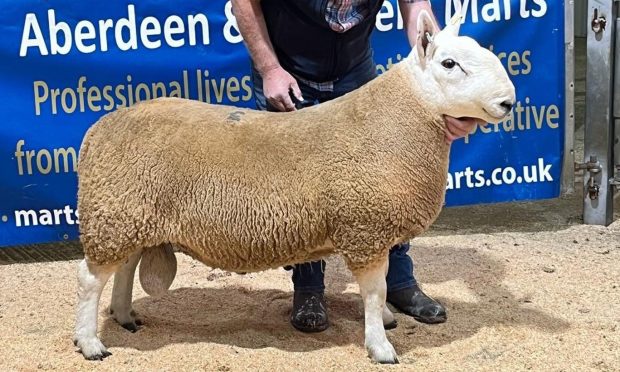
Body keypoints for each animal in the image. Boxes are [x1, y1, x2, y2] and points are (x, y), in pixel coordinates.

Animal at [75, 11, 516, 364]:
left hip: (130, 213)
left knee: (125, 267)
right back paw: (90, 342)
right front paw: (380, 347)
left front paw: (386, 321)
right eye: (449, 63)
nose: (508, 102)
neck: (395, 119)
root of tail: (98, 129)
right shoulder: (366, 227)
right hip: (114, 213)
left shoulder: (375, 230)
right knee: (90, 280)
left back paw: (125, 316)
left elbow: (381, 287)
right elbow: (374, 292)